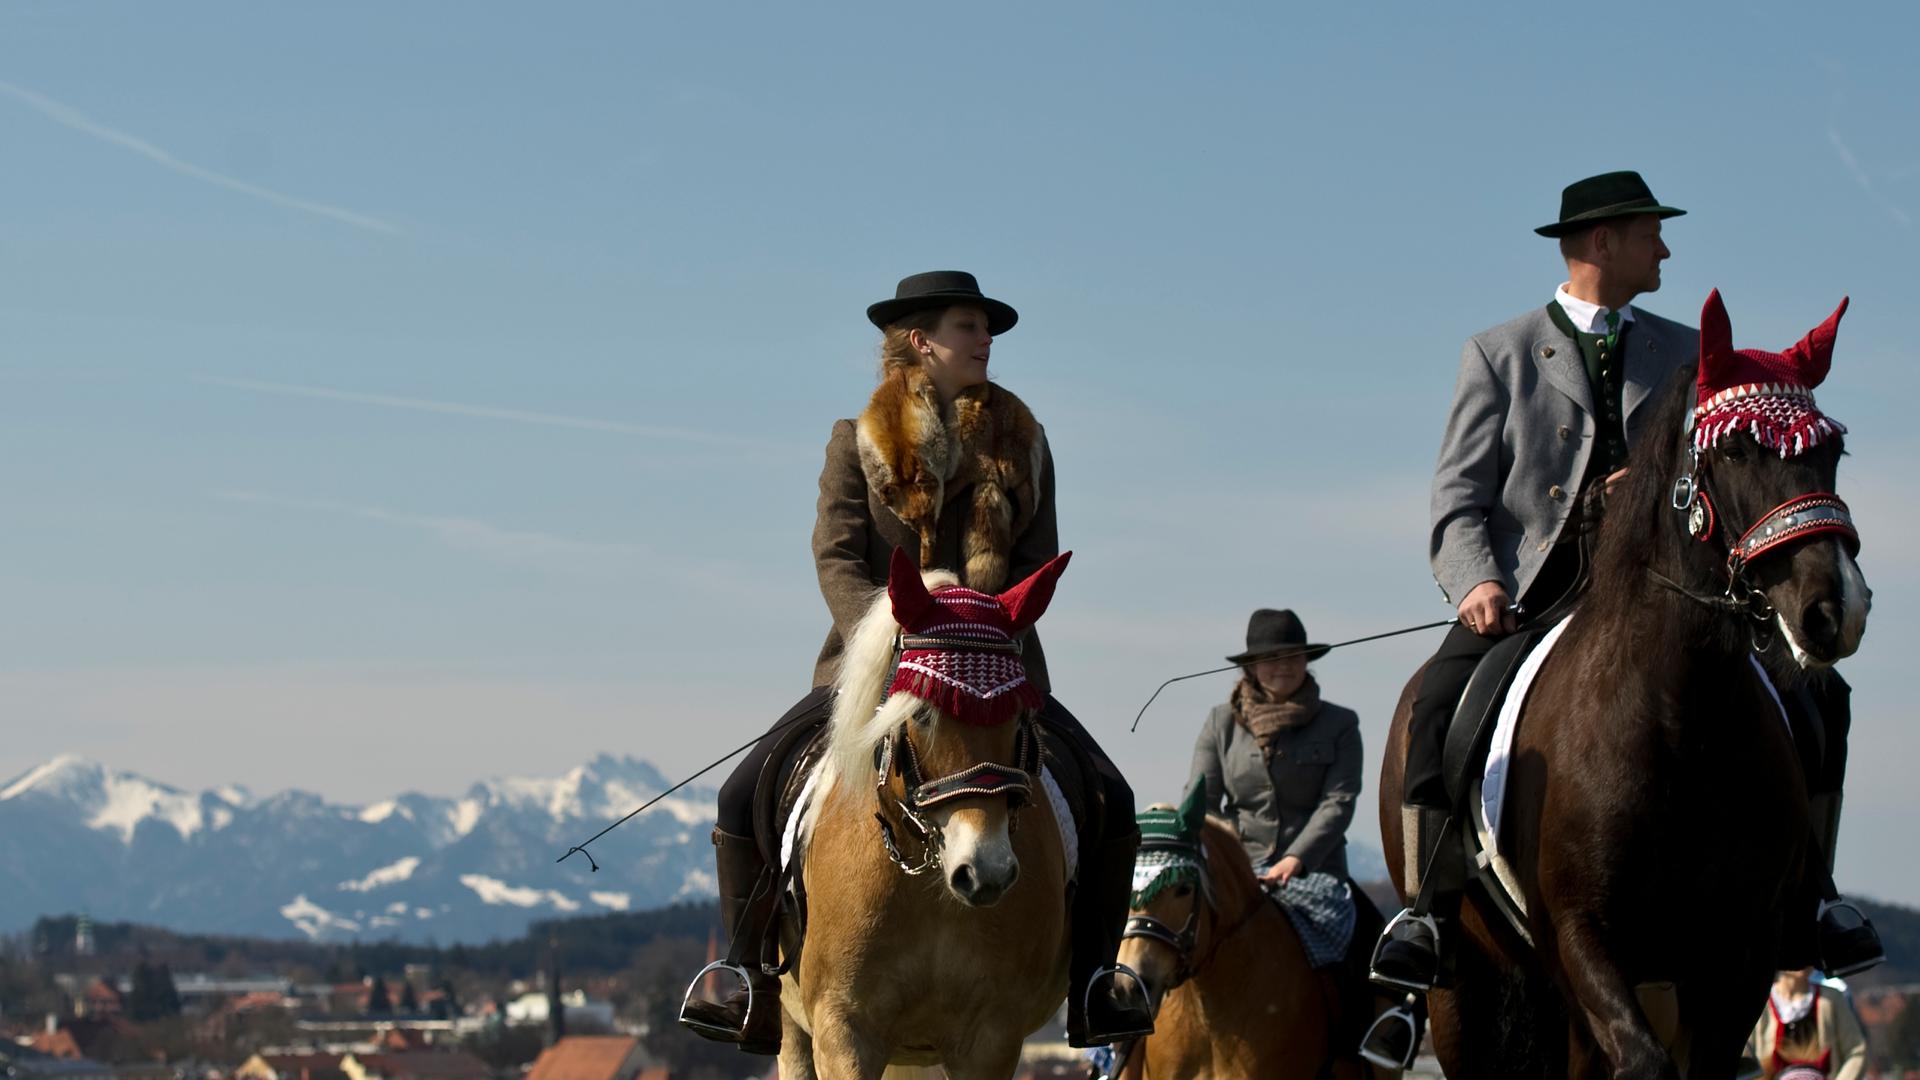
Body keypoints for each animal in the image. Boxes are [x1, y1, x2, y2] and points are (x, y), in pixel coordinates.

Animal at [1382, 288, 1873, 1076]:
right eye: (1735, 448)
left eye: (1831, 451)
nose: (1834, 610)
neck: (1681, 717)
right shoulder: (1583, 941)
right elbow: (1641, 1062)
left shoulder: (1735, 961)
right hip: (1465, 991)